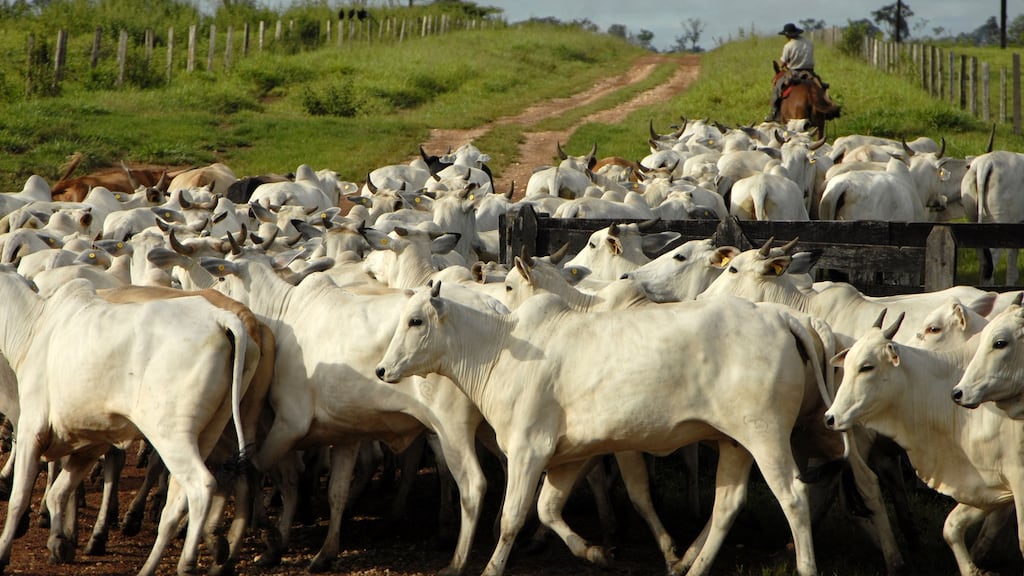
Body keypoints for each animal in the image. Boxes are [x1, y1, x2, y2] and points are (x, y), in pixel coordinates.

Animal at [376, 283, 846, 576]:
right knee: (727, 505)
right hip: (735, 442)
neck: (499, 349)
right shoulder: (568, 456)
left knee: (793, 498)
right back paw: (691, 565)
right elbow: (547, 509)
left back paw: (805, 566)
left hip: (765, 435)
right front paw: (597, 553)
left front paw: (491, 567)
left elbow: (513, 517)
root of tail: (778, 315)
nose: (382, 370)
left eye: (416, 321)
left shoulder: (528, 450)